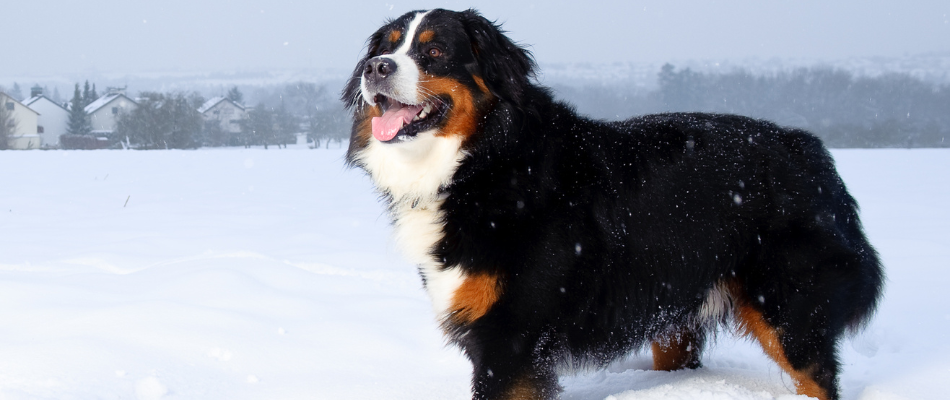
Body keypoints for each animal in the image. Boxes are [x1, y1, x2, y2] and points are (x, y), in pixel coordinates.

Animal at [342, 9, 884, 400]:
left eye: (434, 50)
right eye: (386, 47)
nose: (376, 68)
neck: (484, 164)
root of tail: (810, 149)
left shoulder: (511, 338)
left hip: (790, 309)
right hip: (674, 313)